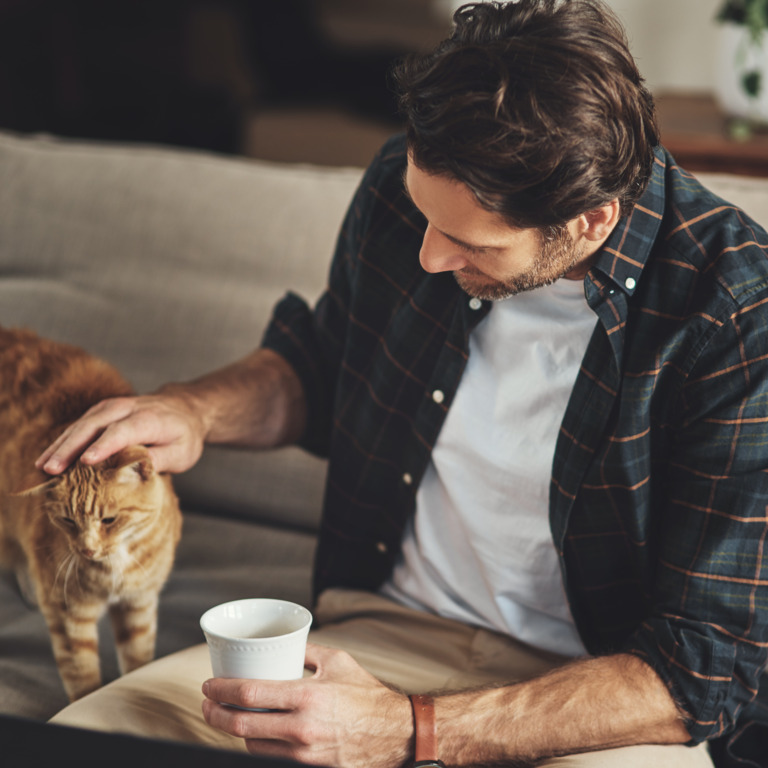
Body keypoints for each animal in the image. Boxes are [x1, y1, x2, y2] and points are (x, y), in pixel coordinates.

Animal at [0, 328, 183, 700]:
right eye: (67, 521)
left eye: (109, 520)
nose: (86, 549)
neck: (114, 568)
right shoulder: (67, 615)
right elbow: (83, 680)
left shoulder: (139, 604)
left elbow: (138, 663)